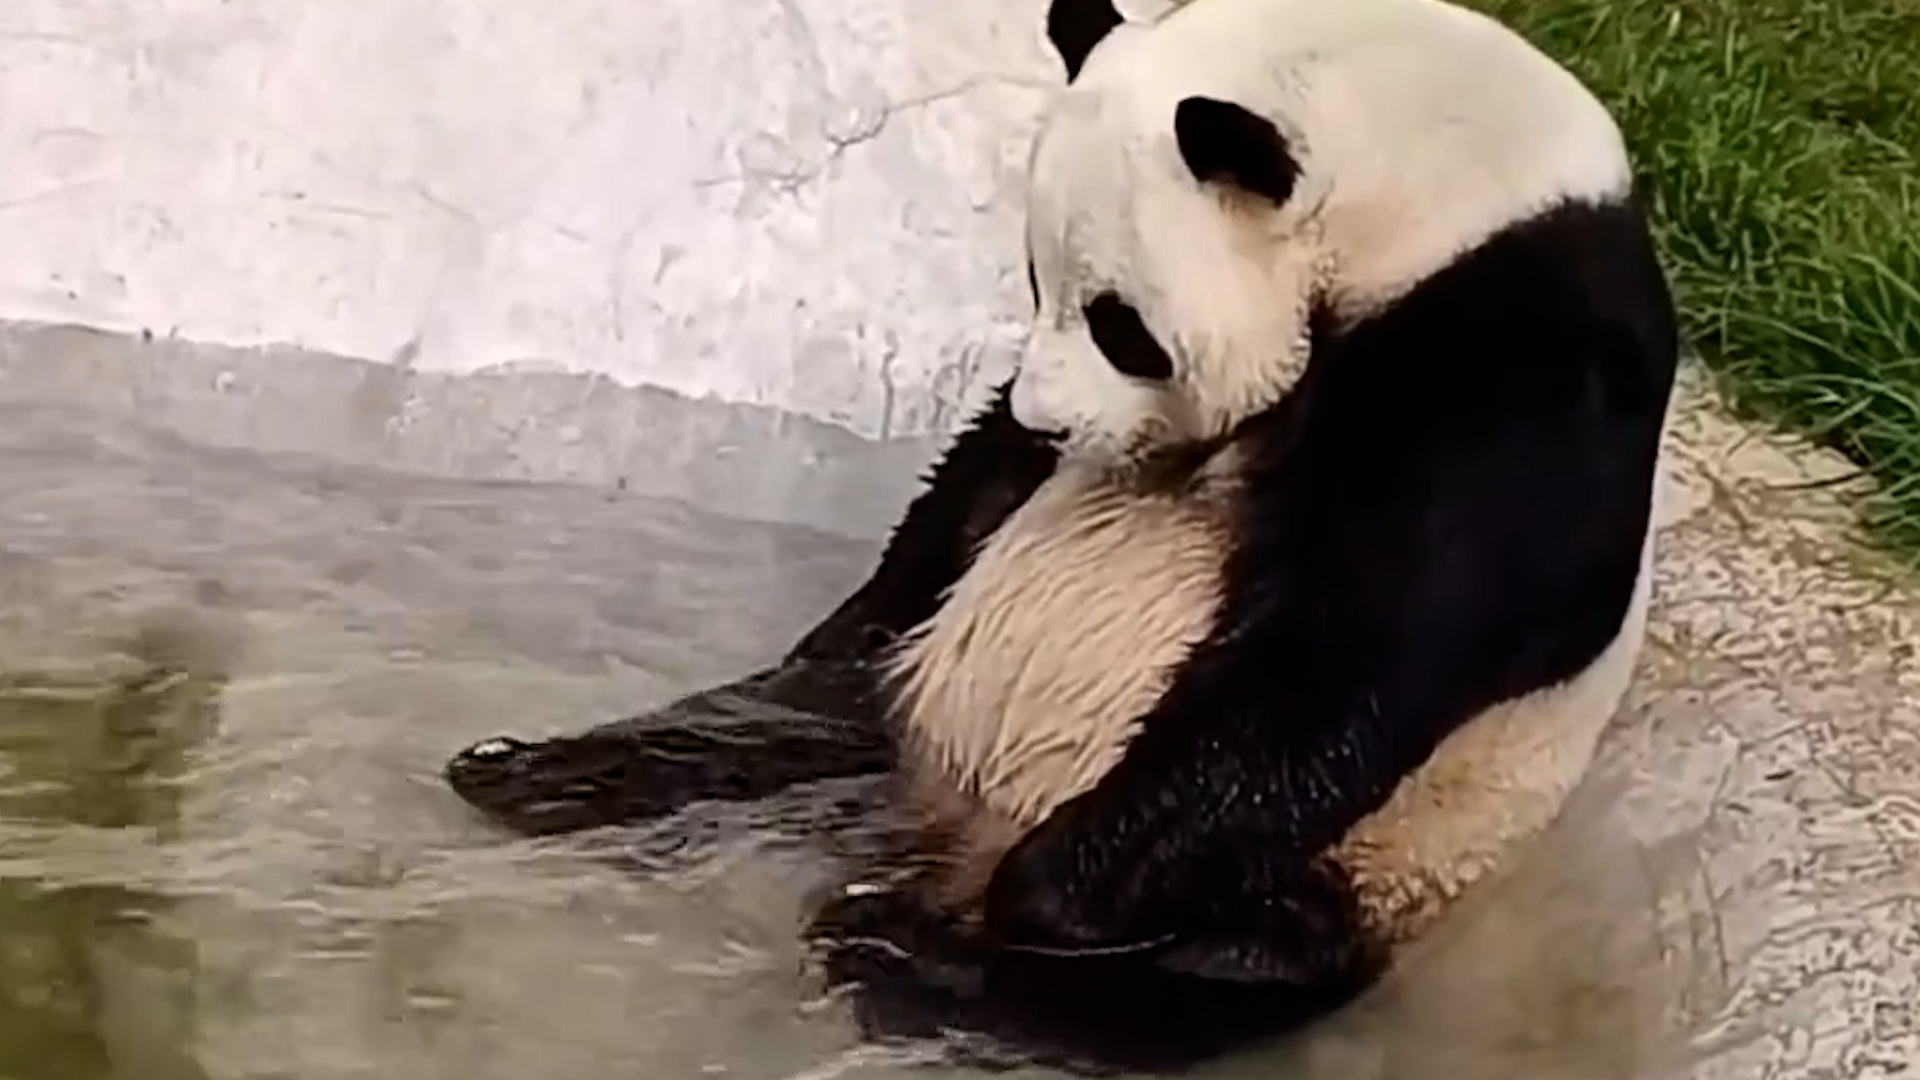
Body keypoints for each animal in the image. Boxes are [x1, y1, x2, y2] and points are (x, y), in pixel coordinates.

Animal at [441, 0, 1679, 1071]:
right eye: (1036, 282)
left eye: (1123, 325)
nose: (1050, 420)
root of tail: (932, 820)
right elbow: (967, 497)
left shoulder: (1519, 364)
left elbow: (1363, 645)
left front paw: (1044, 895)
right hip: (912, 703)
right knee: (818, 713)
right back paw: (552, 771)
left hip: (1379, 859)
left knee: (1207, 972)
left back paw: (908, 941)